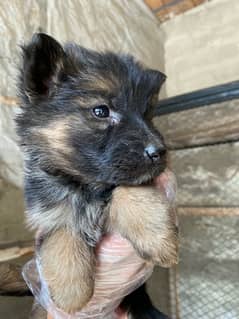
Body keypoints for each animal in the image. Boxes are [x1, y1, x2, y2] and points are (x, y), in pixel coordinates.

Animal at [16, 33, 177, 318]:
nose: (158, 151)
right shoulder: (47, 212)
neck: (88, 187)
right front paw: (71, 293)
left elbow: (128, 189)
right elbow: (63, 232)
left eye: (147, 114)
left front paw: (157, 237)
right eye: (101, 111)